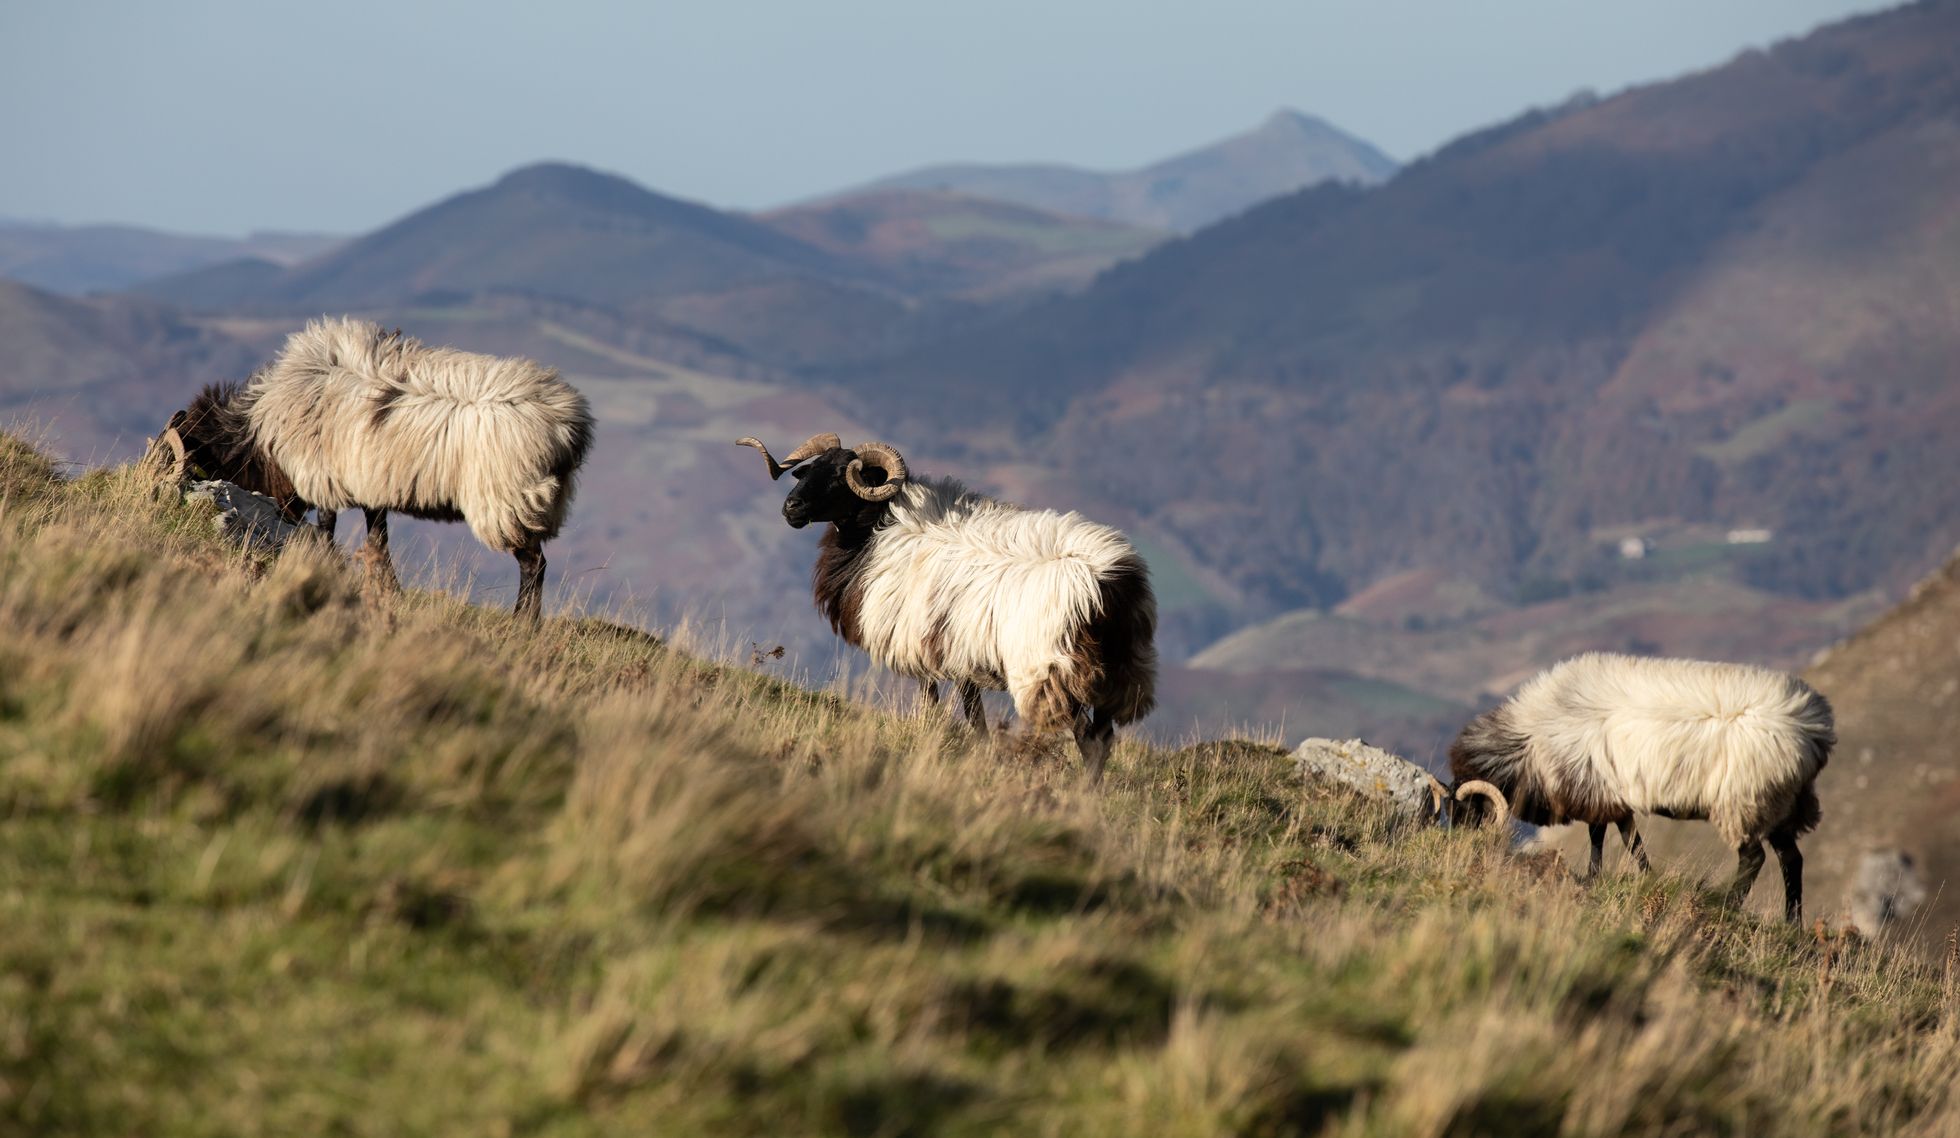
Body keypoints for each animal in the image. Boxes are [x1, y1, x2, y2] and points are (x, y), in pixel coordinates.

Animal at [167, 317, 588, 622]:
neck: (262, 435)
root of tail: (569, 428)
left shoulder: (325, 479)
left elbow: (329, 530)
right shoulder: (369, 484)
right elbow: (377, 540)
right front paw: (389, 591)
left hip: (510, 503)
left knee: (534, 565)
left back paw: (523, 625)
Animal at [740, 430, 1152, 775]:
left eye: (842, 476)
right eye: (811, 468)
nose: (791, 507)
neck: (877, 531)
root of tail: (1108, 585)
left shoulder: (924, 648)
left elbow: (943, 709)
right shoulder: (960, 658)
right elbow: (973, 717)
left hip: (1051, 674)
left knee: (1088, 739)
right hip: (1119, 674)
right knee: (1102, 738)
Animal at [1442, 654, 1834, 916]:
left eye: (1466, 808)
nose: (1454, 850)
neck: (1528, 742)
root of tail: (1815, 731)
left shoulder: (1595, 791)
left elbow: (1605, 838)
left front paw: (1601, 877)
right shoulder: (1610, 797)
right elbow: (1627, 840)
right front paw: (1642, 876)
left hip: (1745, 802)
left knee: (1754, 858)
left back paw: (1725, 903)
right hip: (1779, 806)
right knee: (1790, 859)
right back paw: (1792, 923)